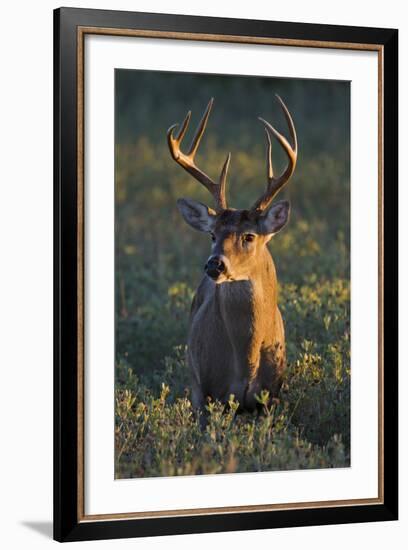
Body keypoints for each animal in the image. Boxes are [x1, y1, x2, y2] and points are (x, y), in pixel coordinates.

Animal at [167, 97, 298, 416]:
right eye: (212, 235)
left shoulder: (271, 396)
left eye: (248, 236)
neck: (245, 361)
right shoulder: (204, 391)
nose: (214, 264)